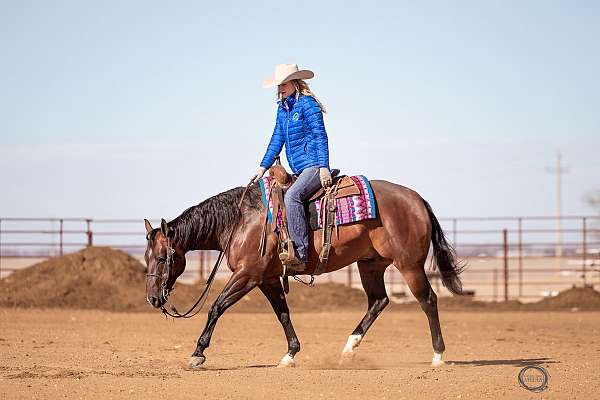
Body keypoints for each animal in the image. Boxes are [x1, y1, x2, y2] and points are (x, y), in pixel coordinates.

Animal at [144, 180, 464, 370]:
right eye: (146, 257)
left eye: (161, 258)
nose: (152, 299)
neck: (240, 222)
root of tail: (417, 199)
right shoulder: (268, 279)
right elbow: (283, 314)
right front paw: (290, 354)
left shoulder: (248, 275)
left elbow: (216, 307)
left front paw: (197, 353)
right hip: (370, 264)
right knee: (378, 301)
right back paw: (348, 349)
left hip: (409, 264)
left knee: (428, 300)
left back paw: (438, 356)